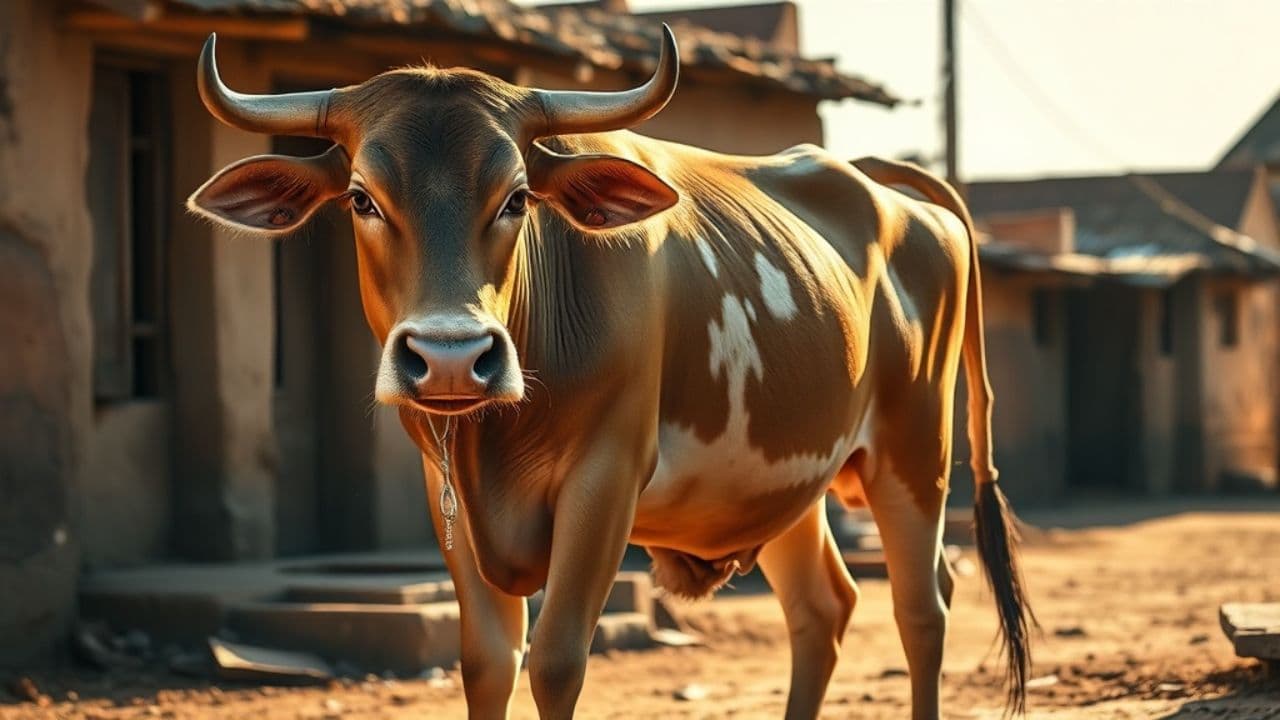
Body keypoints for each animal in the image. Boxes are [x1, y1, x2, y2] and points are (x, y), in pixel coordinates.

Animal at [187, 28, 1033, 719]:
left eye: (517, 198)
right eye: (363, 198)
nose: (452, 357)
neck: (498, 437)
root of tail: (878, 182)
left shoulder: (606, 478)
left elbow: (557, 661)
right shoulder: (445, 491)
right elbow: (487, 663)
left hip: (915, 453)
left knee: (923, 609)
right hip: (782, 477)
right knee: (822, 607)